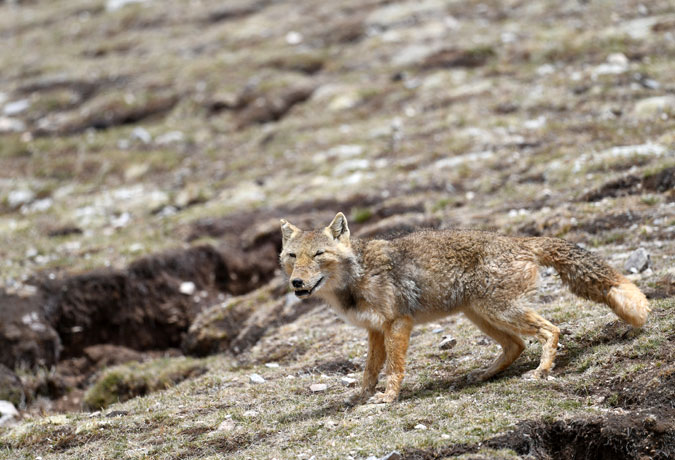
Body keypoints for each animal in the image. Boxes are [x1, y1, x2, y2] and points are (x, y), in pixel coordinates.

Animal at [278, 212, 648, 402]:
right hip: (480, 315)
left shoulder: (398, 323)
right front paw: (360, 398)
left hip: (499, 311)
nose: (296, 283)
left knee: (550, 330)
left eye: (319, 254)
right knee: (516, 345)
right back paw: (483, 375)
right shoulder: (374, 330)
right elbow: (370, 372)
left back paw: (542, 370)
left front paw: (387, 398)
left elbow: (394, 369)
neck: (357, 275)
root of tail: (516, 239)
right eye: (292, 256)